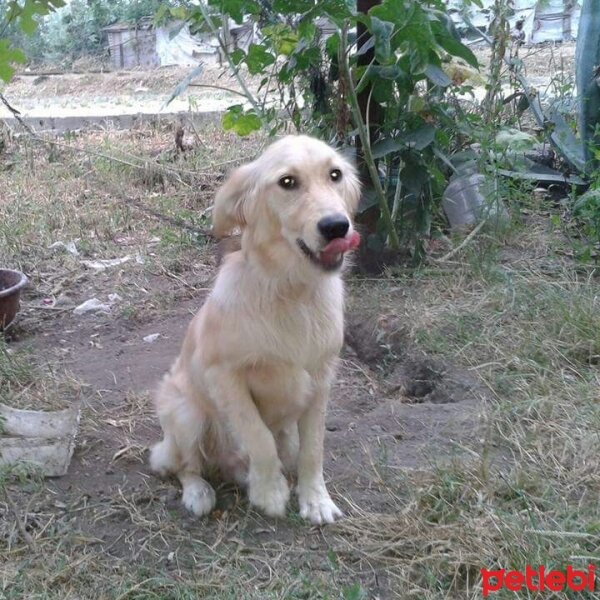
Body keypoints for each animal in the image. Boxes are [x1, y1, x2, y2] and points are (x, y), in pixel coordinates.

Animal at [150, 134, 360, 524]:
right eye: (287, 182)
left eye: (335, 174)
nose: (337, 226)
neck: (291, 292)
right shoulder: (223, 375)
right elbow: (258, 435)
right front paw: (270, 491)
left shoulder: (321, 378)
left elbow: (313, 447)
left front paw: (315, 498)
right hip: (185, 413)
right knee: (182, 465)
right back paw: (199, 492)